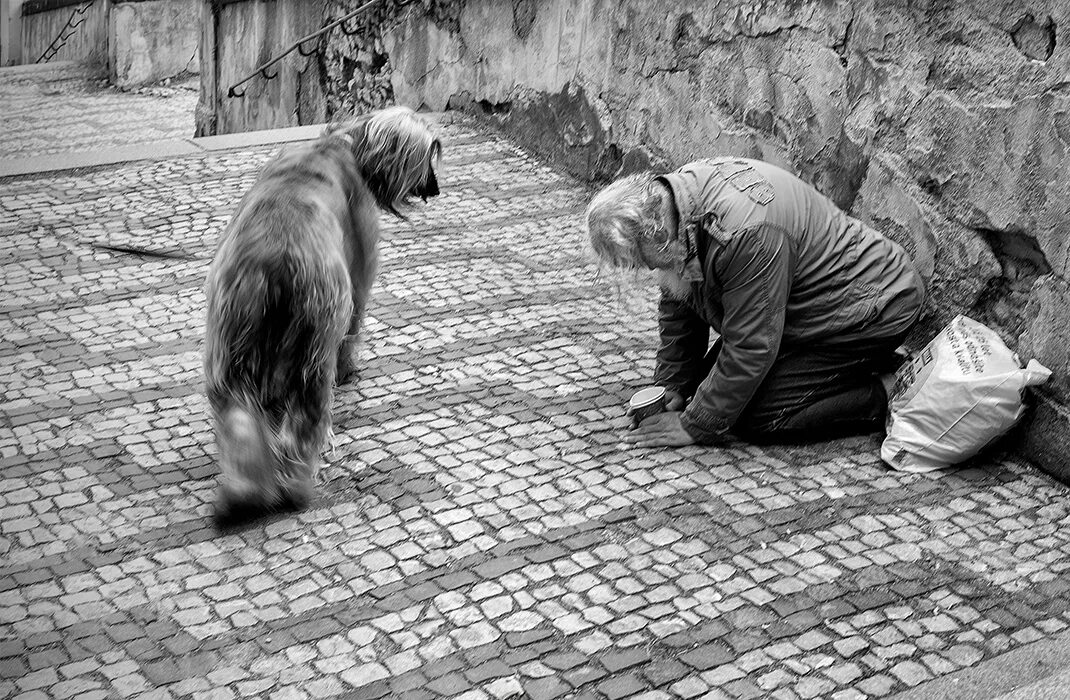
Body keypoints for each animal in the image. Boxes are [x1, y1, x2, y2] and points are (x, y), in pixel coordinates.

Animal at [204, 104, 438, 520]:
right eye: (429, 152)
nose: (435, 187)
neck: (343, 144)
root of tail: (275, 259)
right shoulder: (360, 274)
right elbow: (355, 326)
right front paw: (350, 370)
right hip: (315, 340)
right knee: (305, 419)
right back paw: (296, 486)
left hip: (233, 340)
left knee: (239, 417)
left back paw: (245, 491)